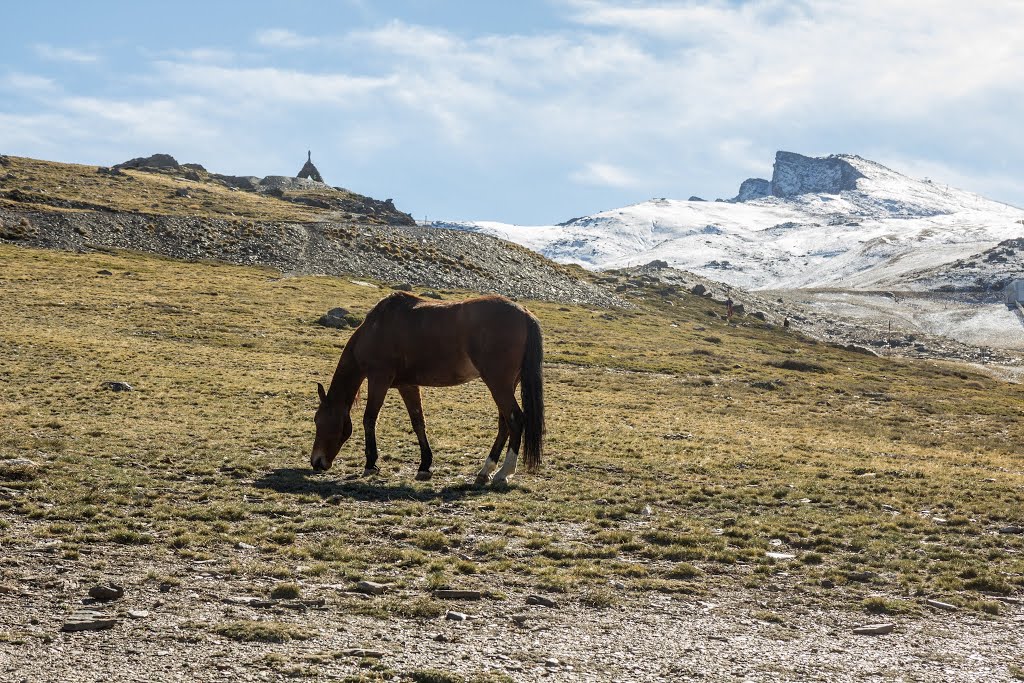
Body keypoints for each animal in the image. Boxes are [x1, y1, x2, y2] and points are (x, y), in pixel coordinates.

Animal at [311, 290, 544, 485]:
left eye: (318, 421)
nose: (316, 462)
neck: (376, 329)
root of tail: (524, 313)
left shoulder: (379, 379)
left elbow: (369, 419)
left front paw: (370, 464)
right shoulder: (407, 385)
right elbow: (418, 422)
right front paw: (425, 465)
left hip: (498, 383)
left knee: (515, 420)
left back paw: (504, 472)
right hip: (507, 384)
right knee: (504, 424)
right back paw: (486, 470)